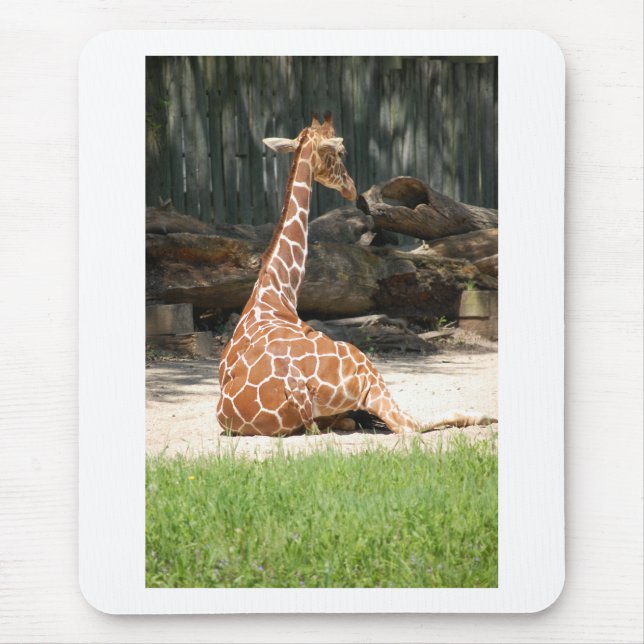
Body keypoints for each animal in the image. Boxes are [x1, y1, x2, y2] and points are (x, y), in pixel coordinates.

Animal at [216, 112, 495, 436]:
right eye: (341, 152)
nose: (352, 188)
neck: (276, 291)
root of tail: (295, 387)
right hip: (364, 368)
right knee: (407, 424)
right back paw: (483, 415)